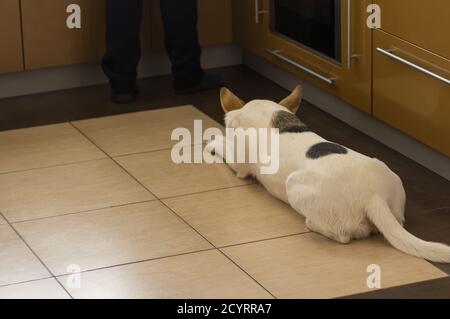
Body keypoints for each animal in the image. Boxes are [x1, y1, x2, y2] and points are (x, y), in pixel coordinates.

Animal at [207, 86, 450, 264]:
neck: (268, 114)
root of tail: (374, 197)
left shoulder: (239, 165)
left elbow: (222, 145)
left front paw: (212, 142)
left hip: (294, 184)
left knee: (342, 236)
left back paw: (313, 225)